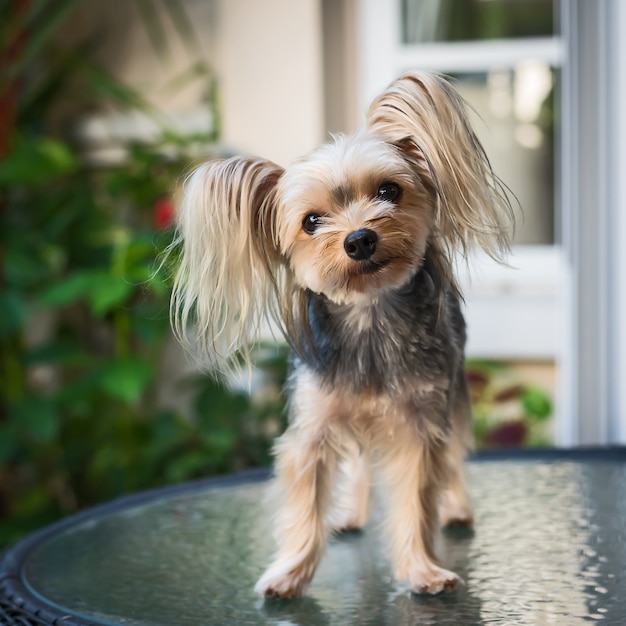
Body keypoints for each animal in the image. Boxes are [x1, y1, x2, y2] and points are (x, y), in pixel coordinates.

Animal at [171, 70, 512, 596]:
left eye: (389, 191)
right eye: (312, 221)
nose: (359, 239)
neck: (368, 316)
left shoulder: (421, 422)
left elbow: (418, 498)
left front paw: (423, 569)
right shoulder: (313, 427)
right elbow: (305, 505)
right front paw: (289, 573)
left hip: (453, 387)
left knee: (454, 451)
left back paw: (455, 507)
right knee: (358, 466)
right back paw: (350, 513)